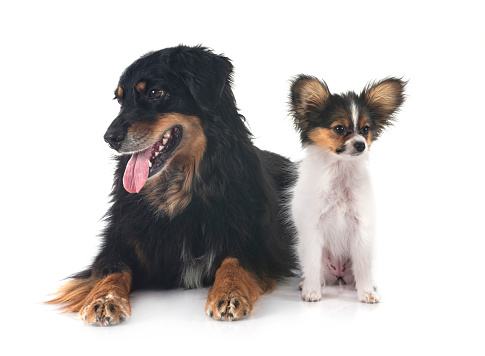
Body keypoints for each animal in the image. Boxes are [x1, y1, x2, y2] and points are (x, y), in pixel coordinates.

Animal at [51, 46, 296, 324]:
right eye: (120, 100)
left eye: (155, 93)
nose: (110, 138)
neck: (179, 189)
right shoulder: (119, 241)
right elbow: (111, 269)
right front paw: (103, 299)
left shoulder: (256, 242)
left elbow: (234, 263)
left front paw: (228, 293)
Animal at [288, 76, 404, 304]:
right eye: (340, 129)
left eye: (366, 129)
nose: (361, 145)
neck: (340, 171)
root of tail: (339, 274)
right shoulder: (313, 226)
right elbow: (312, 263)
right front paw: (311, 292)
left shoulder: (361, 225)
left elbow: (363, 265)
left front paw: (366, 292)